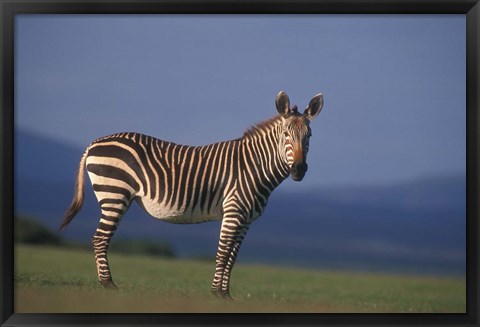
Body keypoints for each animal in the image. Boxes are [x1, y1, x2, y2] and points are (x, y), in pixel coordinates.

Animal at [59, 90, 322, 300]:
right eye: (286, 135)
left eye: (308, 136)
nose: (299, 170)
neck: (255, 167)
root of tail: (94, 143)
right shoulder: (233, 211)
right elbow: (223, 253)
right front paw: (217, 293)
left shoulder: (246, 220)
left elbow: (233, 257)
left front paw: (226, 295)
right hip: (114, 194)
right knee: (99, 238)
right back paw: (108, 285)